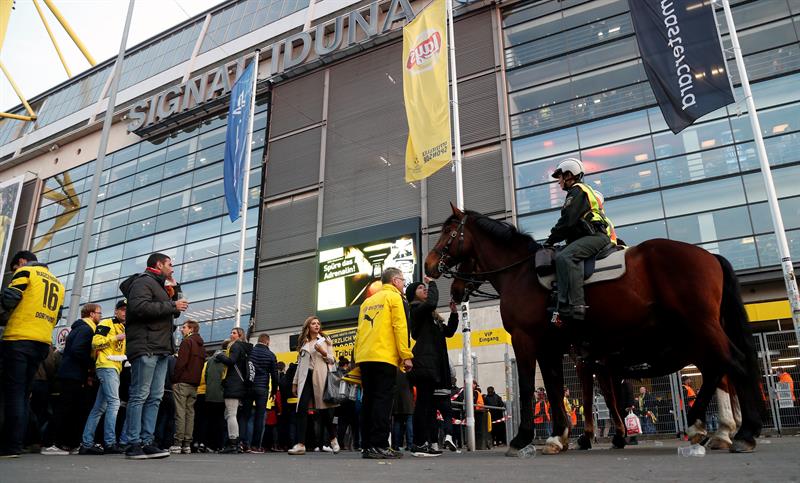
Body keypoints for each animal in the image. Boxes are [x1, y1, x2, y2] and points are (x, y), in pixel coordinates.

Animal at [428, 206, 764, 456]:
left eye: (447, 232)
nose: (432, 266)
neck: (520, 272)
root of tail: (709, 256)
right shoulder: (555, 347)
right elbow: (555, 388)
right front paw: (559, 437)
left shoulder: (531, 342)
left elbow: (531, 388)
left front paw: (524, 438)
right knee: (720, 369)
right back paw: (719, 429)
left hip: (700, 327)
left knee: (732, 364)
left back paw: (739, 431)